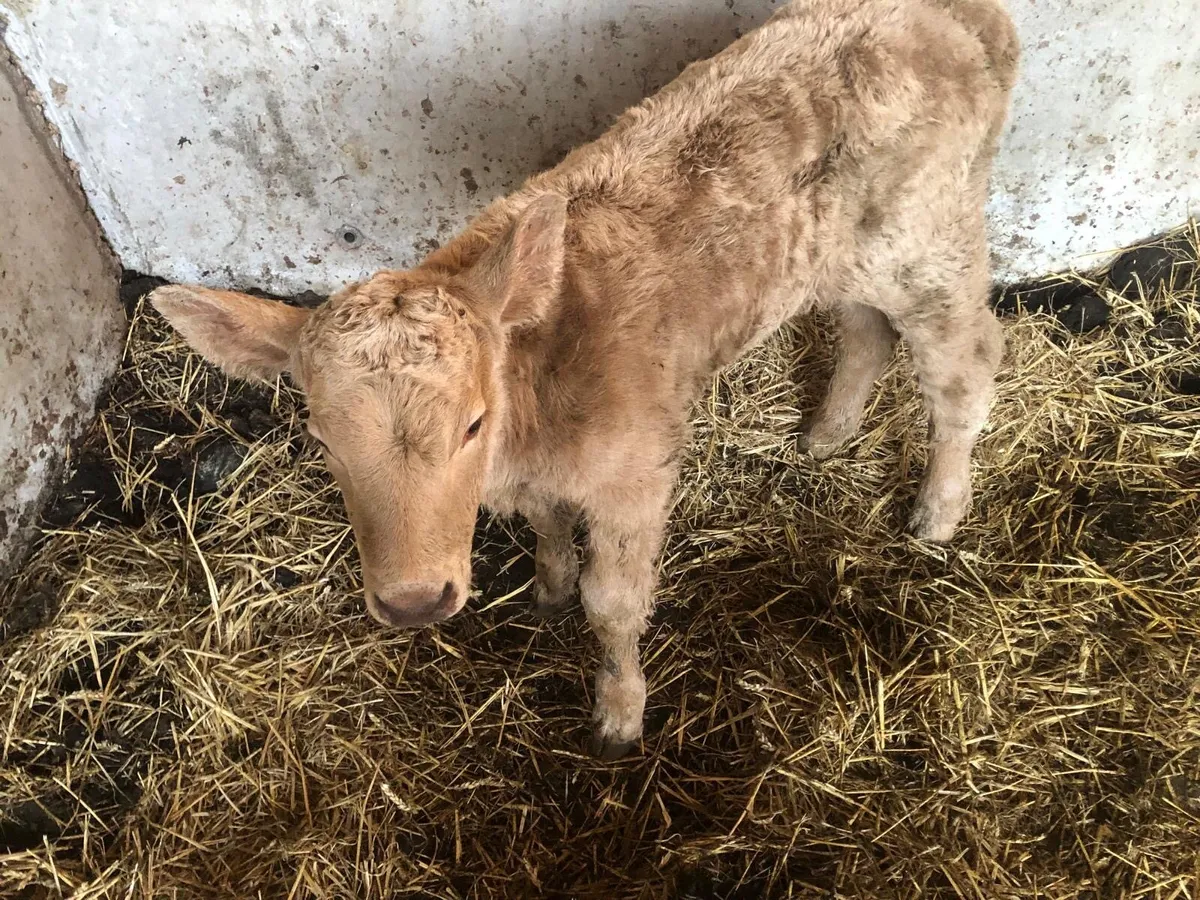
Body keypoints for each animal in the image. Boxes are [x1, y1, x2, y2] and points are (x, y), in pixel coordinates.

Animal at [151, 0, 1019, 758]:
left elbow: (614, 607)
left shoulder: (635, 479)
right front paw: (549, 587)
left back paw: (938, 512)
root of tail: (962, 17)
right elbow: (545, 525)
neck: (531, 417)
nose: (414, 602)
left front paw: (619, 714)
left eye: (472, 423)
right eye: (324, 439)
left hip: (931, 250)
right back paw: (826, 435)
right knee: (865, 330)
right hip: (845, 261)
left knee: (967, 367)